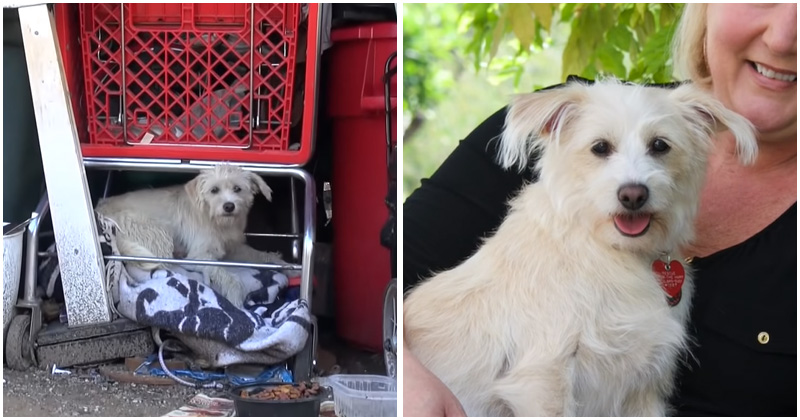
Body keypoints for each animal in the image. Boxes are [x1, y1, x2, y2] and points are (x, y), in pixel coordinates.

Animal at [96, 162, 290, 306]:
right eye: (214, 190)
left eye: (237, 189)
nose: (229, 206)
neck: (216, 220)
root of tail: (100, 212)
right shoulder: (200, 254)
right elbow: (227, 275)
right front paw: (235, 297)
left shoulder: (233, 248)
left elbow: (261, 255)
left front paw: (284, 265)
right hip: (158, 233)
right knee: (168, 266)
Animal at [404, 79, 760, 416]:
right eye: (600, 147)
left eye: (660, 145)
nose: (633, 194)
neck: (607, 250)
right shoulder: (541, 376)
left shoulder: (642, 387)